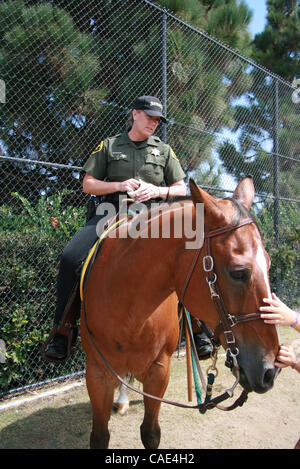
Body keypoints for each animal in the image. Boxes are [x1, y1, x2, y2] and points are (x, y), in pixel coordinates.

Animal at [81, 177, 280, 448]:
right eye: (238, 272)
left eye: (268, 264)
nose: (270, 370)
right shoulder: (97, 374)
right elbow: (100, 436)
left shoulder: (159, 370)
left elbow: (150, 432)